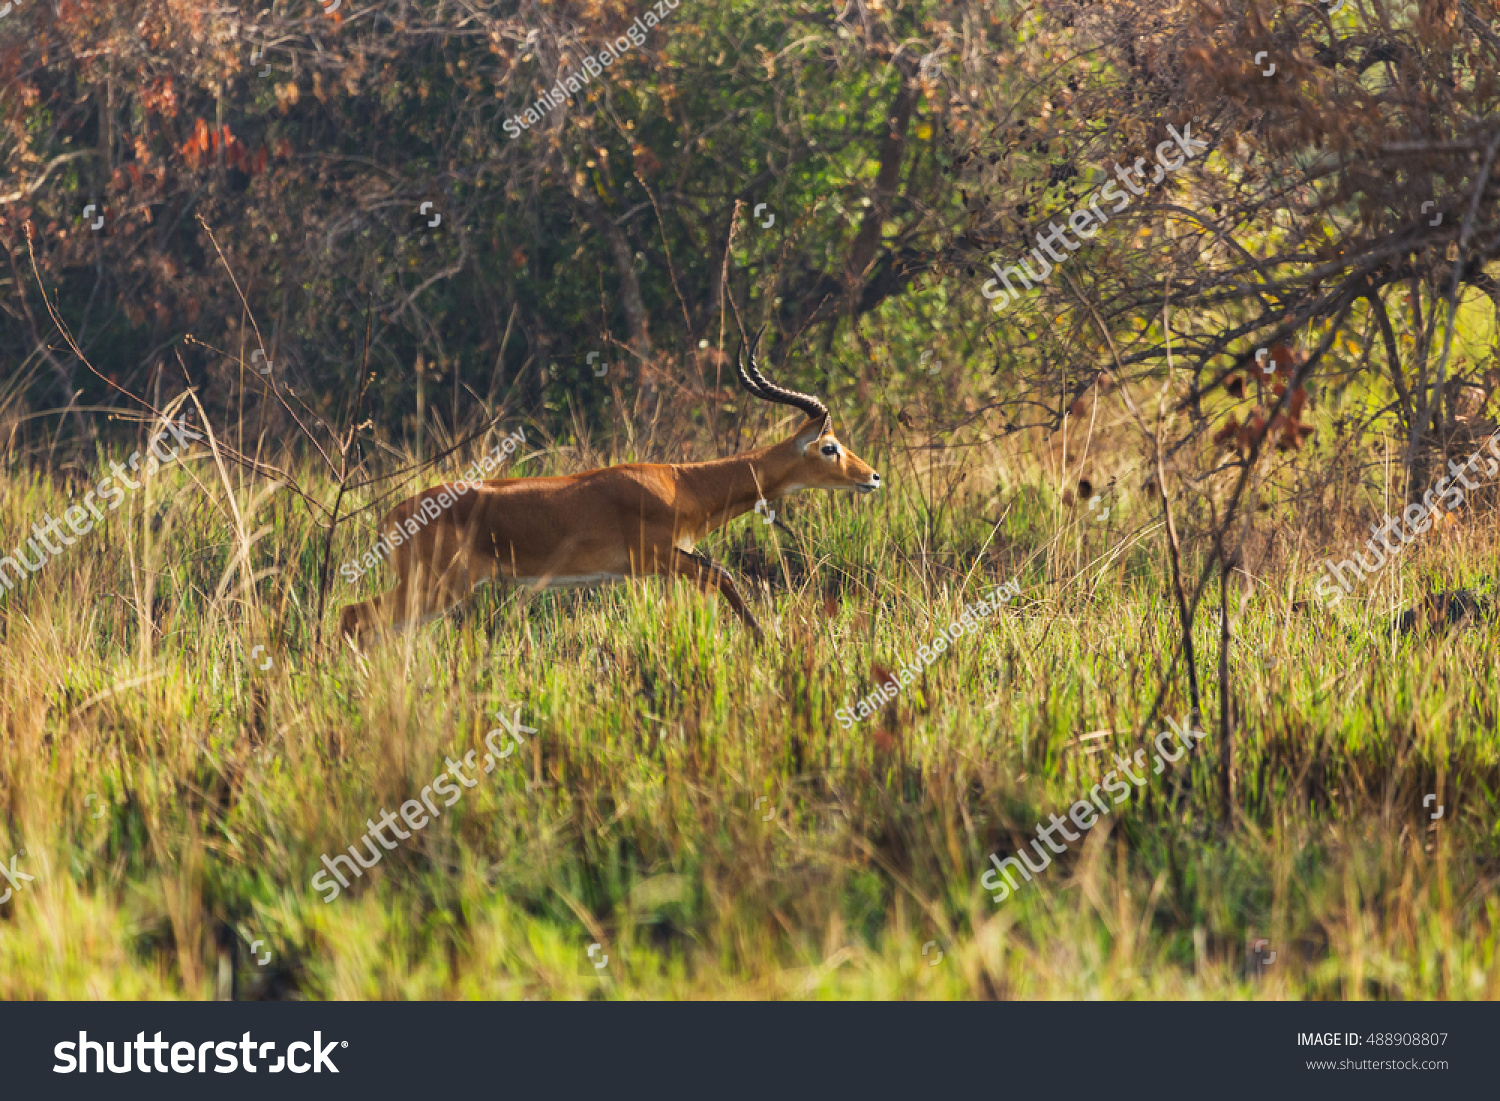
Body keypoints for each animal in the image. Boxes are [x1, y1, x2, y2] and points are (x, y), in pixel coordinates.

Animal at [340, 336, 876, 648]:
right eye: (829, 446)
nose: (872, 477)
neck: (682, 483)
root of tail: (391, 516)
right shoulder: (660, 556)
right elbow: (725, 576)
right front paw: (768, 643)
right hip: (437, 586)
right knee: (354, 616)